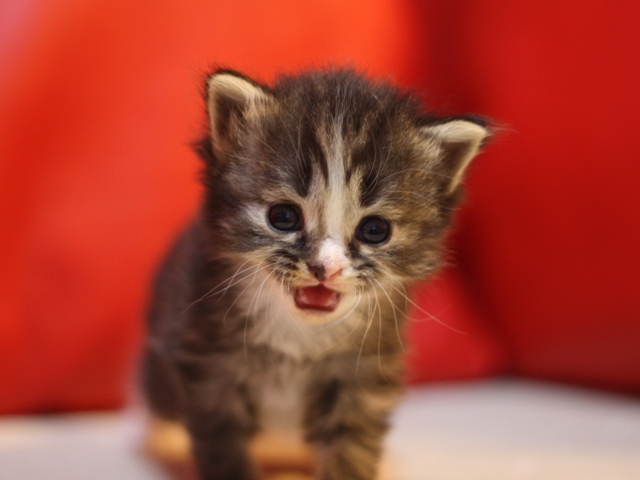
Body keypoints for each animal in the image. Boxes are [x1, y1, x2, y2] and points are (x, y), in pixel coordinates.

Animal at [141, 68, 490, 480]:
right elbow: (224, 450)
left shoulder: (362, 377)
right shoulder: (211, 371)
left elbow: (350, 449)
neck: (300, 336)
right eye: (283, 217)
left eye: (375, 230)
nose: (326, 266)